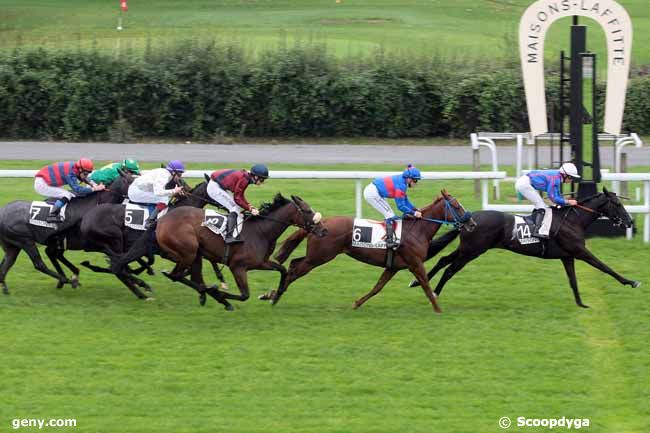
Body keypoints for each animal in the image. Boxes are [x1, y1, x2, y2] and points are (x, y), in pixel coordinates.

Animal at [114, 194, 326, 308]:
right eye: (307, 211)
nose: (324, 230)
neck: (261, 231)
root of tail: (161, 220)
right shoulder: (237, 266)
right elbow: (244, 295)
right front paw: (221, 294)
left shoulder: (260, 262)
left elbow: (282, 270)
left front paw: (273, 296)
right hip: (188, 251)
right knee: (175, 275)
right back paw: (213, 294)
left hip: (195, 254)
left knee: (185, 275)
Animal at [266, 191, 474, 312]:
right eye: (456, 206)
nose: (472, 224)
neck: (417, 230)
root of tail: (317, 224)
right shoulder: (415, 263)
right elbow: (426, 286)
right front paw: (438, 309)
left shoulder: (394, 266)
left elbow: (377, 287)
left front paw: (357, 303)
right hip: (319, 257)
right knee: (294, 270)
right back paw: (274, 296)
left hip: (315, 256)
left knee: (293, 264)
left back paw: (272, 294)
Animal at [410, 188, 636, 308]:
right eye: (617, 204)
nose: (630, 221)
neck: (573, 220)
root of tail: (468, 219)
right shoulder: (580, 252)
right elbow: (605, 267)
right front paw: (631, 281)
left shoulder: (568, 256)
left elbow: (573, 281)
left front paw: (581, 304)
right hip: (472, 252)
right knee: (449, 269)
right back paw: (434, 293)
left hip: (468, 249)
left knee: (443, 260)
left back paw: (418, 283)